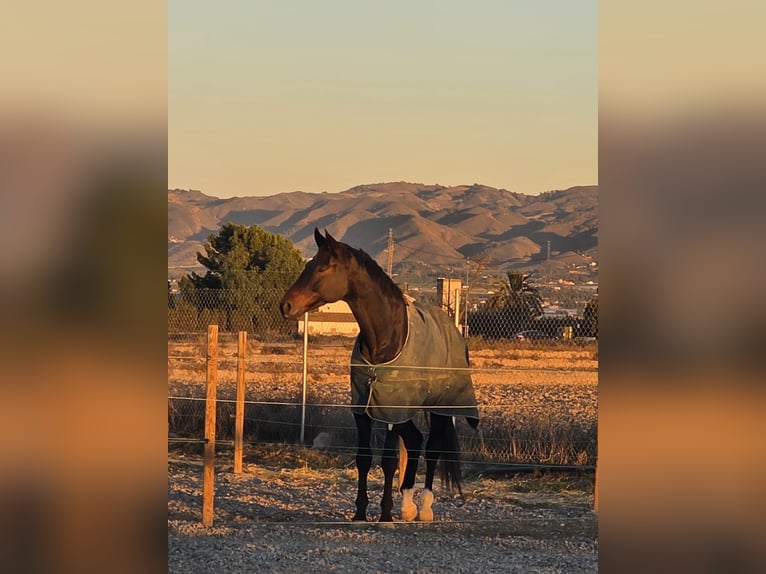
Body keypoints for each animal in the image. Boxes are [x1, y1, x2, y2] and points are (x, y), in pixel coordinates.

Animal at [279, 228, 479, 522]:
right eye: (308, 265)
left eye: (323, 267)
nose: (286, 305)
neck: (384, 338)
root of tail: (454, 332)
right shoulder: (364, 407)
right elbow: (364, 458)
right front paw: (360, 512)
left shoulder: (391, 409)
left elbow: (388, 460)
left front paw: (385, 513)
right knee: (415, 441)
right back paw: (407, 507)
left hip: (440, 407)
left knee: (432, 448)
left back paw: (424, 508)